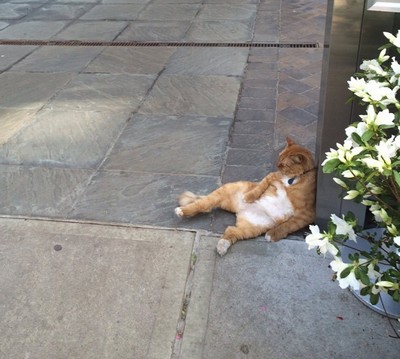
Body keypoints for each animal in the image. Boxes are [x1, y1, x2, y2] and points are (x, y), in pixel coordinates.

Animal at [174, 139, 316, 258]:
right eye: (279, 158)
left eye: (284, 164)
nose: (277, 165)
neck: (293, 180)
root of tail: (240, 210)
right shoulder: (273, 177)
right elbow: (262, 184)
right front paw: (249, 196)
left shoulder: (306, 214)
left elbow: (289, 225)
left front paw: (273, 234)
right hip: (221, 194)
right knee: (202, 204)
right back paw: (182, 211)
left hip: (250, 229)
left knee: (230, 230)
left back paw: (222, 245)